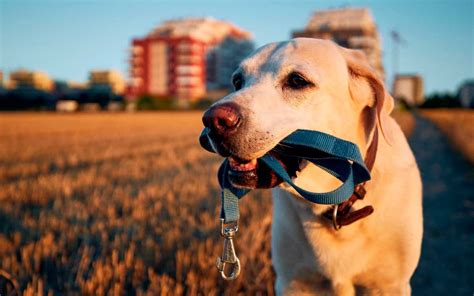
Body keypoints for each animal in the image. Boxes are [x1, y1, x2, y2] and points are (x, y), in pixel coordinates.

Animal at [202, 38, 424, 294]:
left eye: (297, 81)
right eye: (238, 82)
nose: (212, 120)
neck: (334, 202)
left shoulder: (390, 284)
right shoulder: (292, 282)